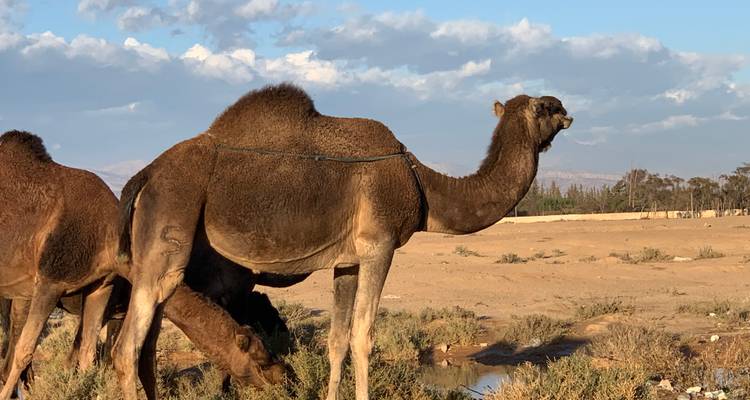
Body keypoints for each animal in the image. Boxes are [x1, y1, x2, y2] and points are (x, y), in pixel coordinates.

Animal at [112, 83, 573, 400]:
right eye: (545, 107)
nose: (568, 111)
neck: (423, 186)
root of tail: (144, 176)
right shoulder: (379, 246)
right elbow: (362, 337)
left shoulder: (347, 261)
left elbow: (336, 340)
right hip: (169, 229)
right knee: (127, 348)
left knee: (145, 347)